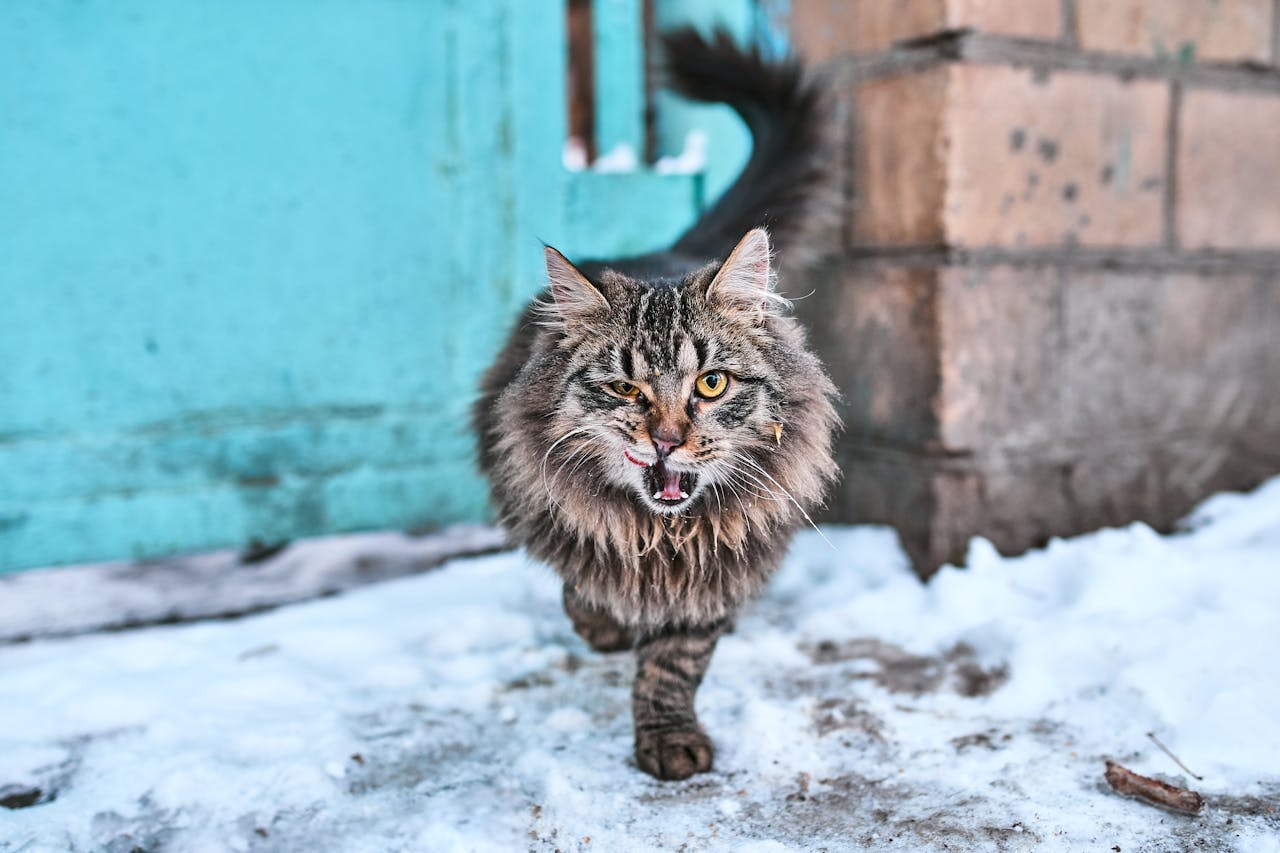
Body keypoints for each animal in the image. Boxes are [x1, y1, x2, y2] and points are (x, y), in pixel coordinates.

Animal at [473, 28, 839, 778]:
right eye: (624, 387)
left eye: (710, 384)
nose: (667, 438)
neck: (664, 536)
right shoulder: (559, 510)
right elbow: (582, 578)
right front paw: (604, 623)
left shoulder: (715, 571)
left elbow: (674, 662)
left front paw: (669, 737)